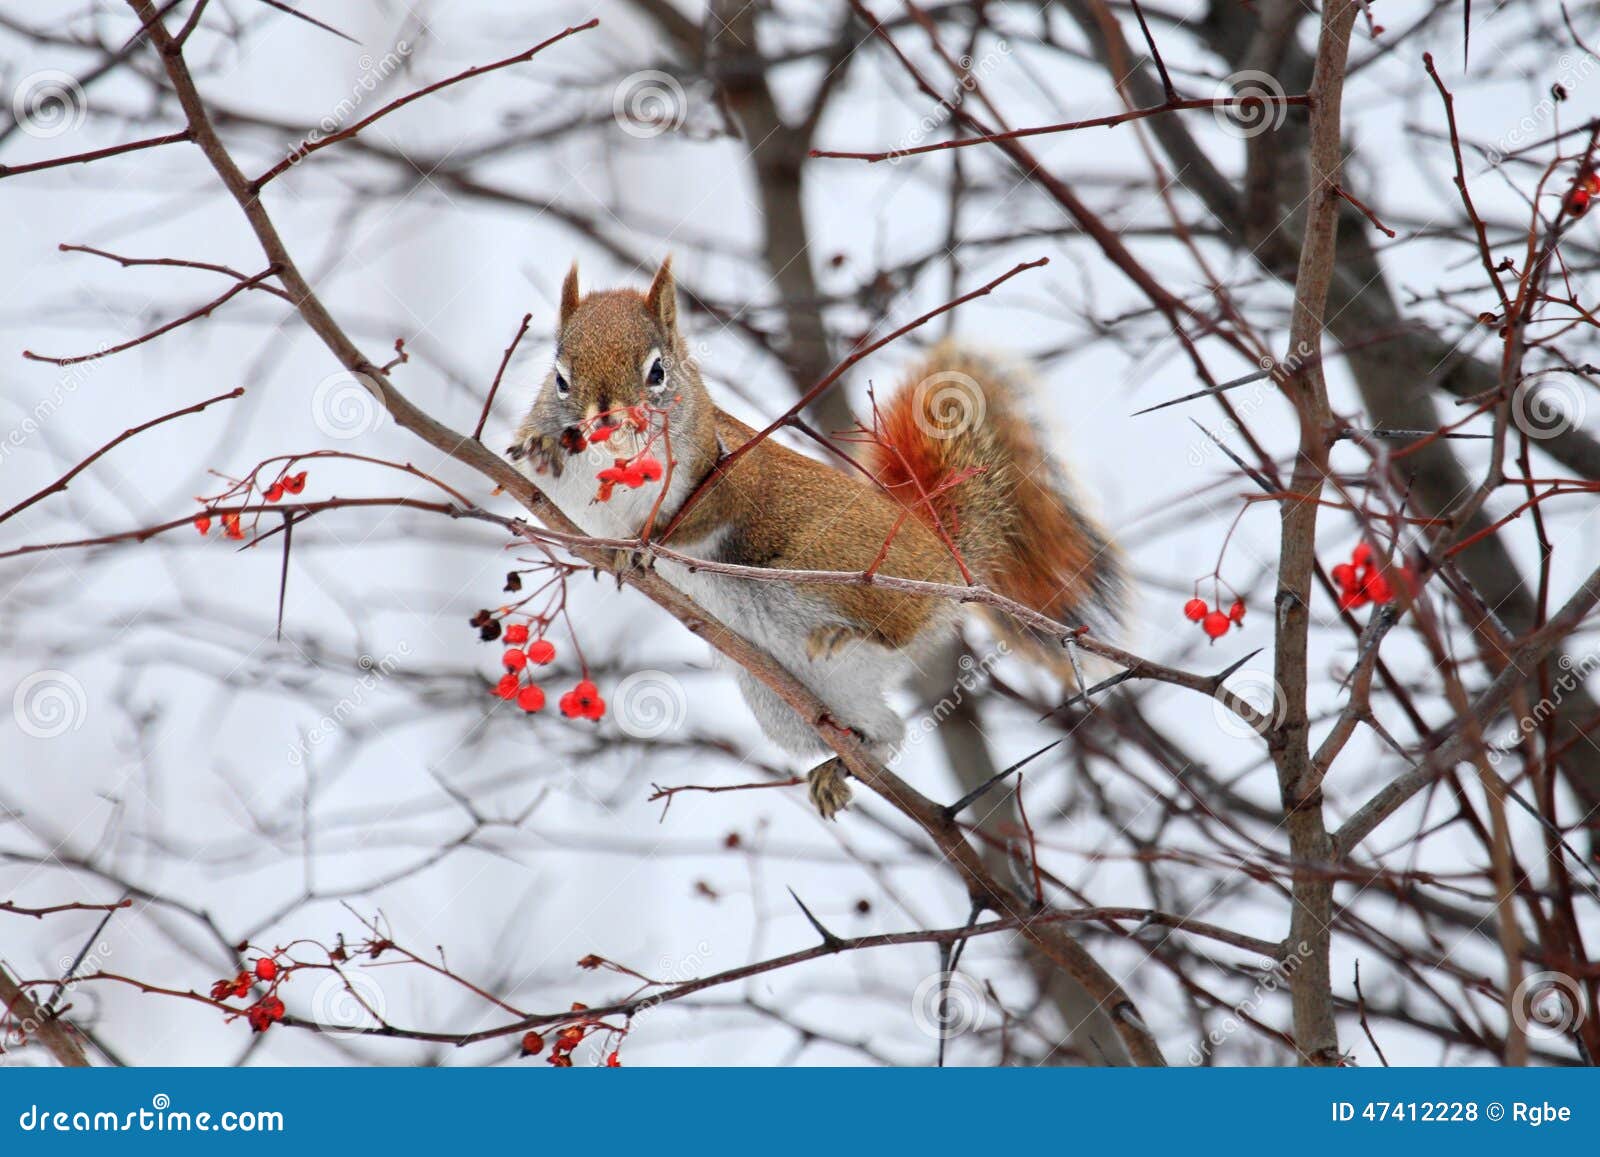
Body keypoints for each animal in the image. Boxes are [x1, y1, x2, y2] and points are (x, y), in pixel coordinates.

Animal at [510, 258, 1123, 818]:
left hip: (831, 563)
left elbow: (697, 517)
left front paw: (646, 546)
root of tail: (948, 558)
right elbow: (556, 496)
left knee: (894, 630)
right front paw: (543, 453)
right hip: (785, 700)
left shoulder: (726, 471)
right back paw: (839, 764)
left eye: (657, 372)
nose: (606, 418)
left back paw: (844, 634)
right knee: (885, 729)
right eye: (560, 378)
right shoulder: (574, 502)